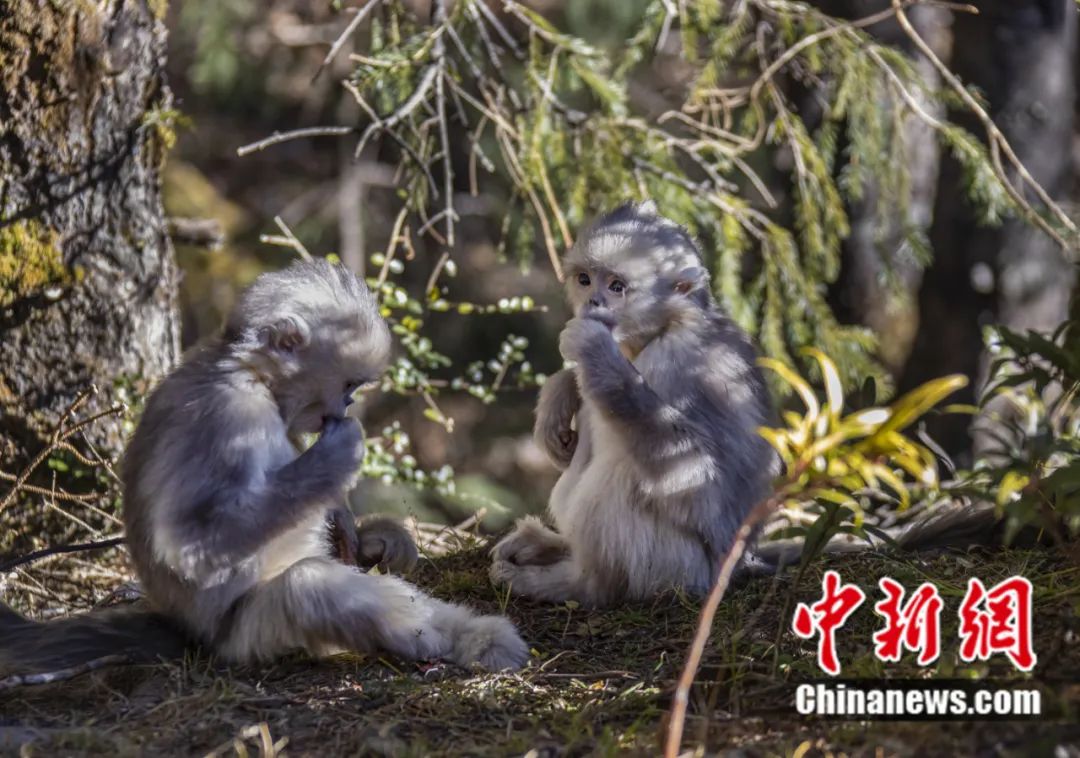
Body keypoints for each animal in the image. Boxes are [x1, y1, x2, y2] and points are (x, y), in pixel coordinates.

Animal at [3, 258, 527, 673]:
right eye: (349, 383)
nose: (348, 403)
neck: (248, 375)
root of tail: (191, 634)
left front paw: (377, 539)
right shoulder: (229, 414)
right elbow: (191, 543)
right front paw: (339, 456)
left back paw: (479, 637)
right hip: (252, 635)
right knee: (307, 586)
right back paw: (429, 639)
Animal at [490, 201, 777, 604]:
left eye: (616, 287)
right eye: (585, 280)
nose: (592, 302)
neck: (663, 328)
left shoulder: (679, 360)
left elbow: (701, 487)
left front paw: (596, 354)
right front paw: (560, 391)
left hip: (677, 571)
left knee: (627, 468)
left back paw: (580, 584)